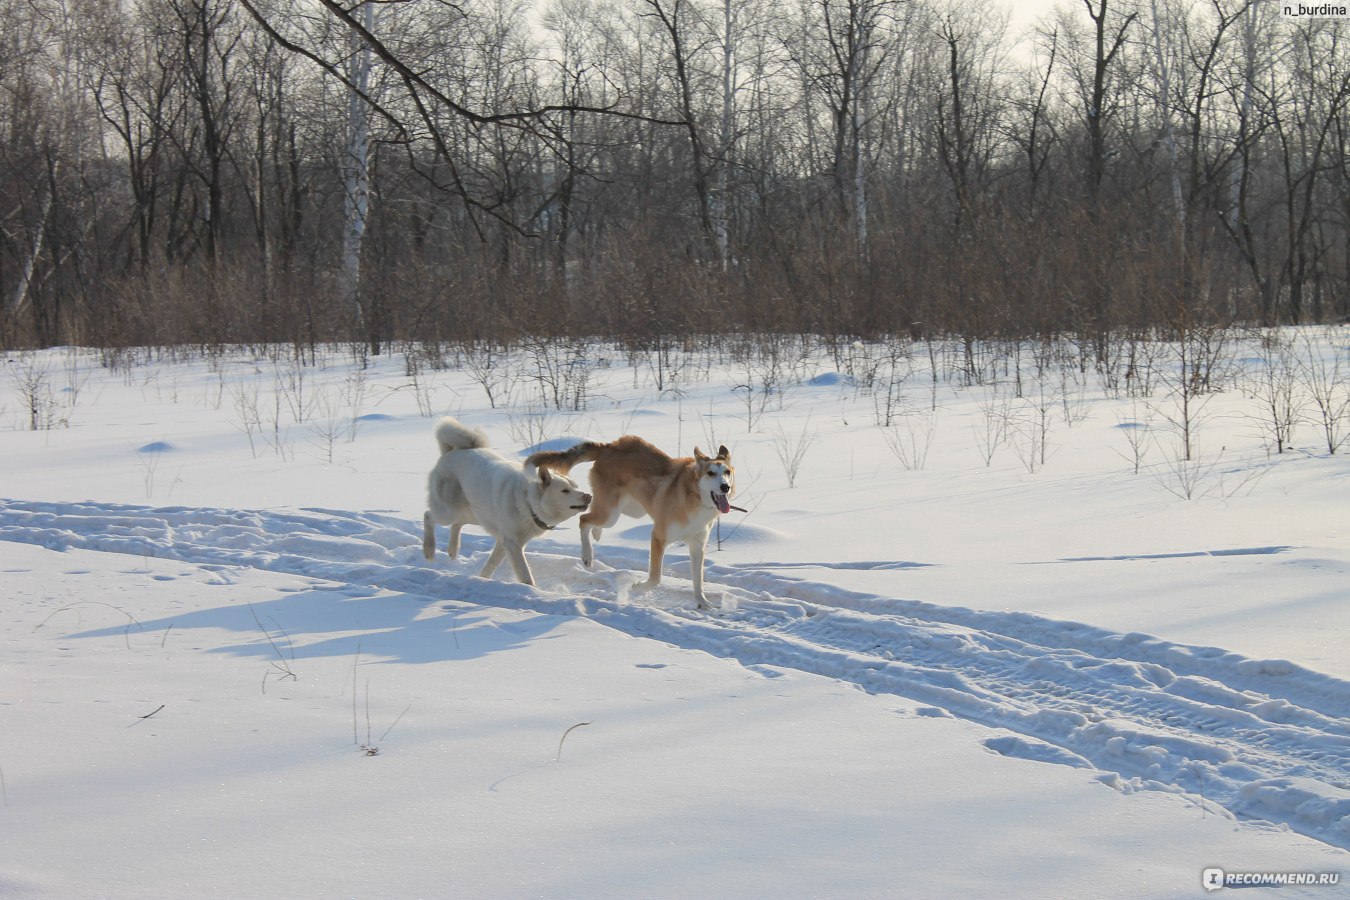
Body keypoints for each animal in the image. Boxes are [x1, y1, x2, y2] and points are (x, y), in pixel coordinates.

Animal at [421, 418, 591, 588]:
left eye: (576, 487)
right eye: (565, 491)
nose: (588, 496)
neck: (527, 502)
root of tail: (450, 452)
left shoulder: (504, 543)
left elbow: (490, 566)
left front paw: (482, 579)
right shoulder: (512, 544)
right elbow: (525, 575)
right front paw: (532, 590)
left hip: (475, 514)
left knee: (457, 524)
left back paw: (453, 549)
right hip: (449, 511)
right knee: (428, 515)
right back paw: (429, 550)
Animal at [529, 437, 739, 612]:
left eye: (727, 472)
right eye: (710, 473)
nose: (725, 487)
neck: (695, 497)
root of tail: (608, 446)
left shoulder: (697, 546)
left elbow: (698, 581)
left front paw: (703, 603)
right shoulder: (658, 538)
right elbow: (655, 578)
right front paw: (638, 588)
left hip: (626, 510)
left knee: (591, 520)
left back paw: (596, 534)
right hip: (611, 513)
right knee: (584, 519)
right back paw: (587, 555)